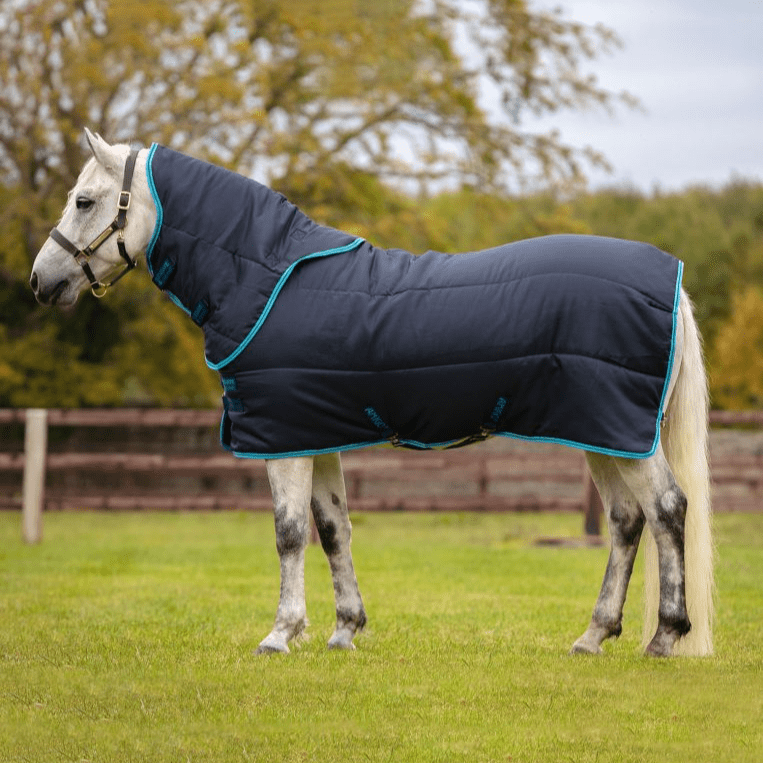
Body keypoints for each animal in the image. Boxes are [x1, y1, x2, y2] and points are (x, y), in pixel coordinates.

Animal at [31, 129, 714, 657]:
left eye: (84, 201)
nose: (41, 281)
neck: (263, 277)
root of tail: (672, 280)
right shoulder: (314, 434)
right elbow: (334, 529)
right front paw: (344, 631)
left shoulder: (282, 441)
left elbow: (289, 533)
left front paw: (281, 634)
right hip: (603, 433)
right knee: (627, 521)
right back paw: (593, 637)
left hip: (620, 433)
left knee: (666, 510)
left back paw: (664, 636)